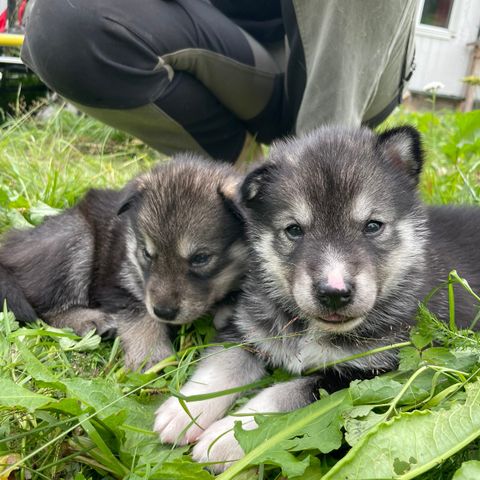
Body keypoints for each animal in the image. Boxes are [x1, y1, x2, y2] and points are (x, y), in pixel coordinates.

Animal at [0, 156, 246, 370]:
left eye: (200, 258)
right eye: (147, 253)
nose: (163, 312)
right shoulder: (117, 284)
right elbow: (140, 316)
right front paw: (152, 357)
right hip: (77, 239)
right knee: (44, 308)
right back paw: (90, 320)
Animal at [153, 125, 480, 470]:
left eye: (373, 226)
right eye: (294, 230)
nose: (334, 293)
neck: (308, 328)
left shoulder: (369, 374)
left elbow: (286, 394)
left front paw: (225, 436)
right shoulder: (247, 328)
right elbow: (224, 362)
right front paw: (186, 410)